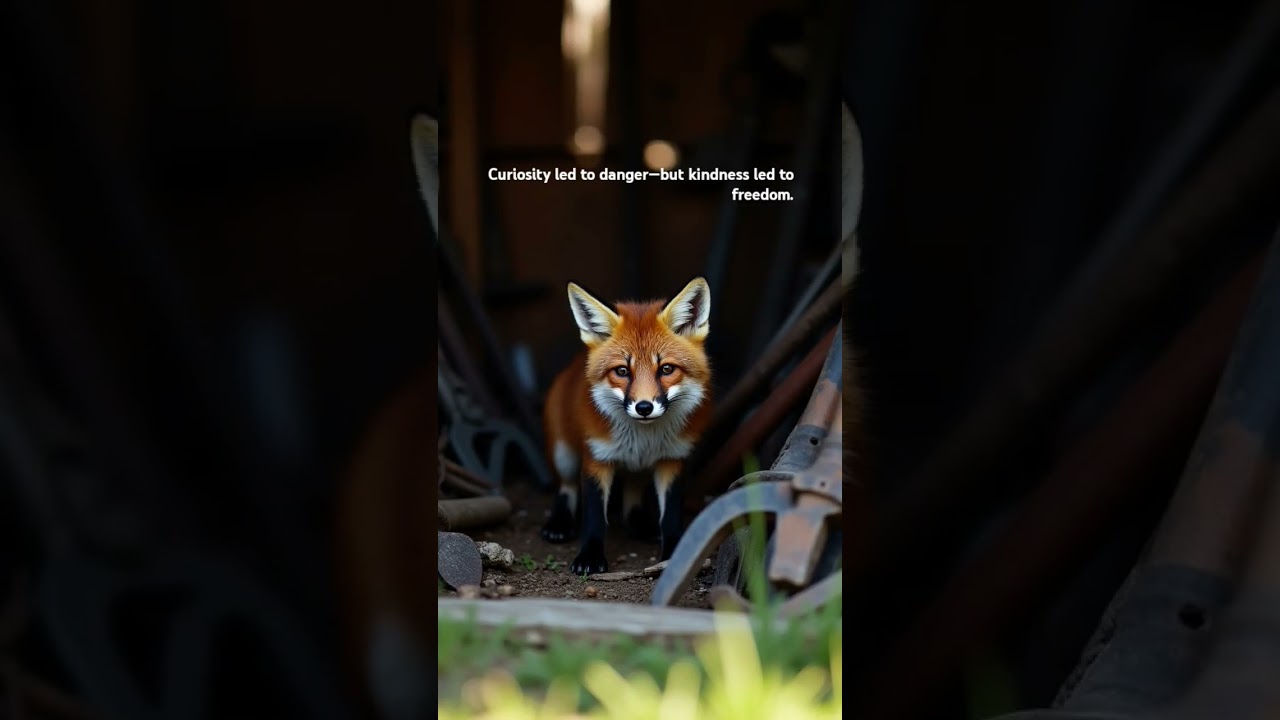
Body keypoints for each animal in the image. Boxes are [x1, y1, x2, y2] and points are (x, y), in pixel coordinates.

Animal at [539, 277, 714, 575]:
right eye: (622, 371)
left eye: (666, 369)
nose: (644, 407)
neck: (643, 438)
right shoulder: (596, 459)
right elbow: (595, 518)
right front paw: (590, 557)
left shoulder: (673, 459)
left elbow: (670, 517)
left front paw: (672, 555)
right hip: (564, 454)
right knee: (566, 487)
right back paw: (559, 523)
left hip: (640, 469)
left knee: (631, 498)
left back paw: (641, 525)